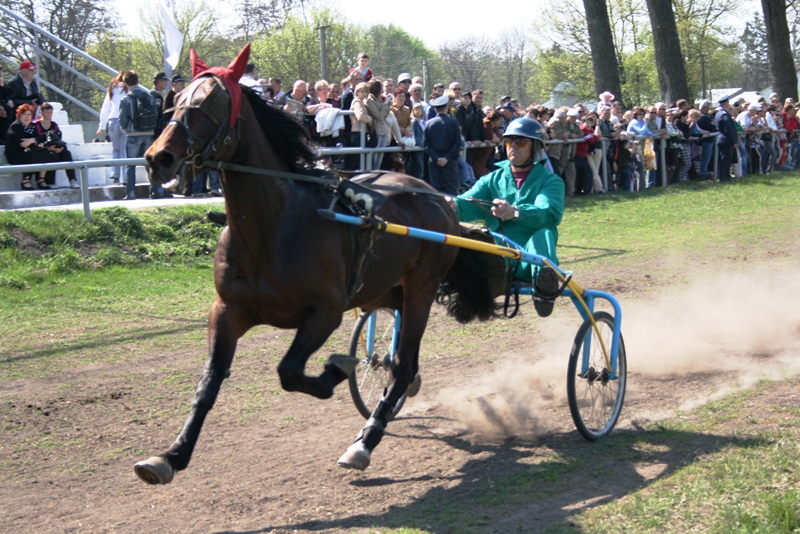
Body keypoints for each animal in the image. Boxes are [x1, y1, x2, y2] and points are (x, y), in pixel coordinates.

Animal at [134, 48, 496, 488]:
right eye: (176, 102)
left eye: (210, 104)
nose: (158, 158)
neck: (273, 228)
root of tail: (440, 198)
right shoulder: (227, 310)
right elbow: (209, 382)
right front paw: (171, 454)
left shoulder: (324, 312)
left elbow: (289, 371)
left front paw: (337, 369)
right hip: (387, 289)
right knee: (401, 364)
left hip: (421, 290)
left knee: (404, 365)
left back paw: (365, 441)